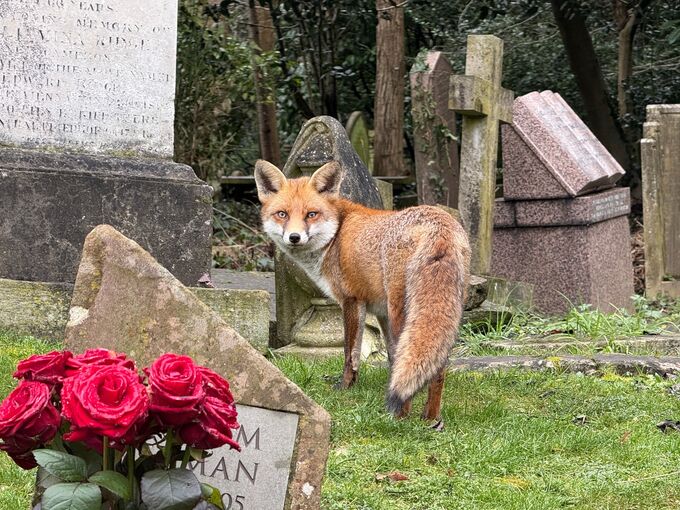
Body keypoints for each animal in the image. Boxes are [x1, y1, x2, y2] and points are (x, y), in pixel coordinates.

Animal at [254, 159, 471, 423]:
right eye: (282, 214)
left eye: (311, 214)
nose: (294, 237)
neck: (335, 236)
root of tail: (440, 225)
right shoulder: (380, 312)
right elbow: (394, 358)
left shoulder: (352, 300)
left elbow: (351, 353)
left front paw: (346, 386)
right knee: (437, 367)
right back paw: (430, 419)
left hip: (401, 311)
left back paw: (400, 416)